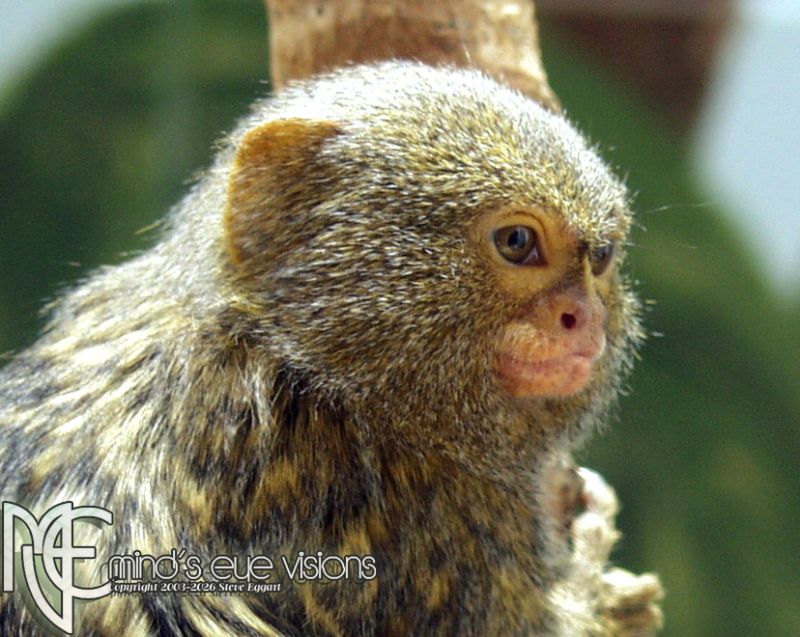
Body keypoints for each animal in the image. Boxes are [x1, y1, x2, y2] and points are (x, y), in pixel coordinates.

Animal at [0, 61, 662, 636]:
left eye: (601, 258)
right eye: (518, 242)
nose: (584, 319)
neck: (304, 365)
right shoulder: (423, 523)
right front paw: (604, 591)